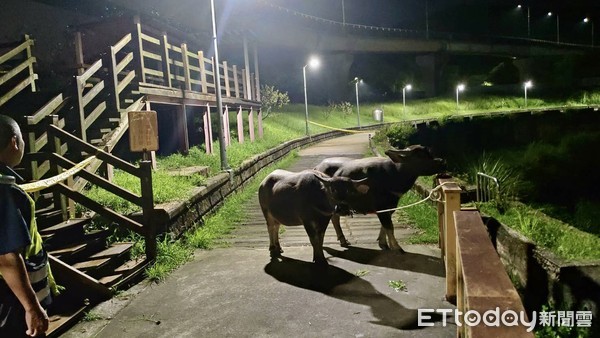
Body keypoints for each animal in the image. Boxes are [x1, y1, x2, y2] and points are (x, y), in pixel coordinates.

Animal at [314, 144, 446, 252]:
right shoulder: (381, 206)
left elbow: (385, 225)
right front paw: (397, 247)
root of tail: (317, 168)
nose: (442, 162)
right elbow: (389, 226)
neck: (393, 174)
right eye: (421, 155)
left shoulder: (390, 206)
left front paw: (383, 243)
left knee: (334, 217)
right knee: (332, 218)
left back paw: (343, 240)